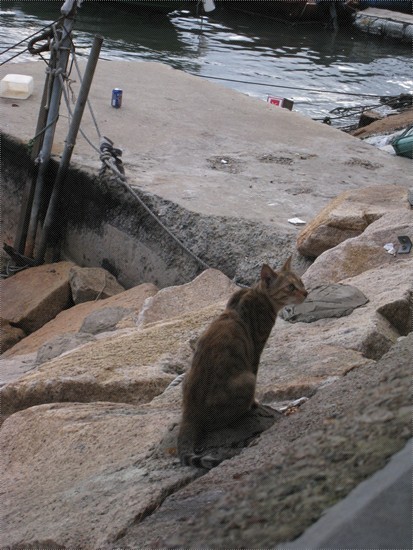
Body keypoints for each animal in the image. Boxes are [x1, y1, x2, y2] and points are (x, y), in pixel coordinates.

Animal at [177, 258, 306, 470]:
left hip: (187, 376)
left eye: (301, 282)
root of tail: (190, 411)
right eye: (290, 287)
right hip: (247, 379)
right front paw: (256, 404)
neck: (256, 294)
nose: (306, 293)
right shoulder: (255, 351)